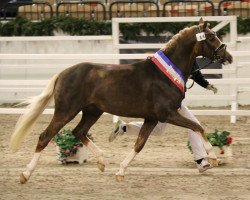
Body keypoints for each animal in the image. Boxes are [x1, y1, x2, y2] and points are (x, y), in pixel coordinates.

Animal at [9, 18, 232, 182]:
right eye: (211, 37)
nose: (228, 57)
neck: (165, 74)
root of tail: (62, 74)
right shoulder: (167, 114)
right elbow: (197, 127)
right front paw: (212, 157)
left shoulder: (152, 118)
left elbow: (139, 144)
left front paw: (121, 171)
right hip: (66, 111)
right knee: (45, 136)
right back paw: (25, 174)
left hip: (92, 111)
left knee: (79, 132)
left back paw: (102, 161)